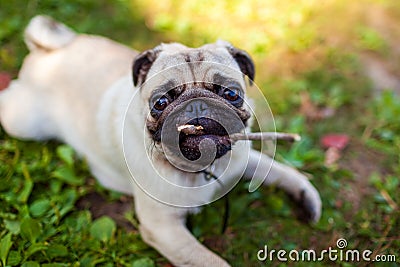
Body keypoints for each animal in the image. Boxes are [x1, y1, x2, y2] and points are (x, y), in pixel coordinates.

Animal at [0, 15, 320, 266]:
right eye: (161, 102)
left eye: (231, 94)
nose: (197, 104)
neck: (201, 170)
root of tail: (50, 50)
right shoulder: (164, 229)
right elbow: (211, 261)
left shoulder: (240, 157)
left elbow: (276, 169)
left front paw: (306, 195)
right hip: (21, 122)